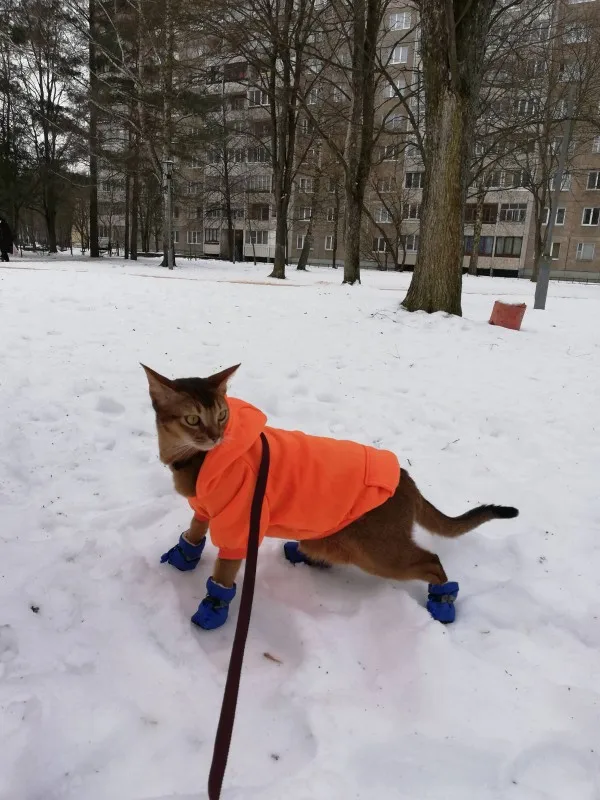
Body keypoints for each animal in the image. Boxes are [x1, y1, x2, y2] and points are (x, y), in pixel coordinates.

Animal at [143, 363, 518, 628]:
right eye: (193, 419)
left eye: (222, 415)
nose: (216, 436)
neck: (195, 460)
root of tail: (406, 478)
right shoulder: (206, 508)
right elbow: (194, 530)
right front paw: (182, 557)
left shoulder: (239, 525)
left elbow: (223, 574)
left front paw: (212, 611)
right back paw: (303, 553)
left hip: (379, 553)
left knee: (432, 561)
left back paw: (442, 602)